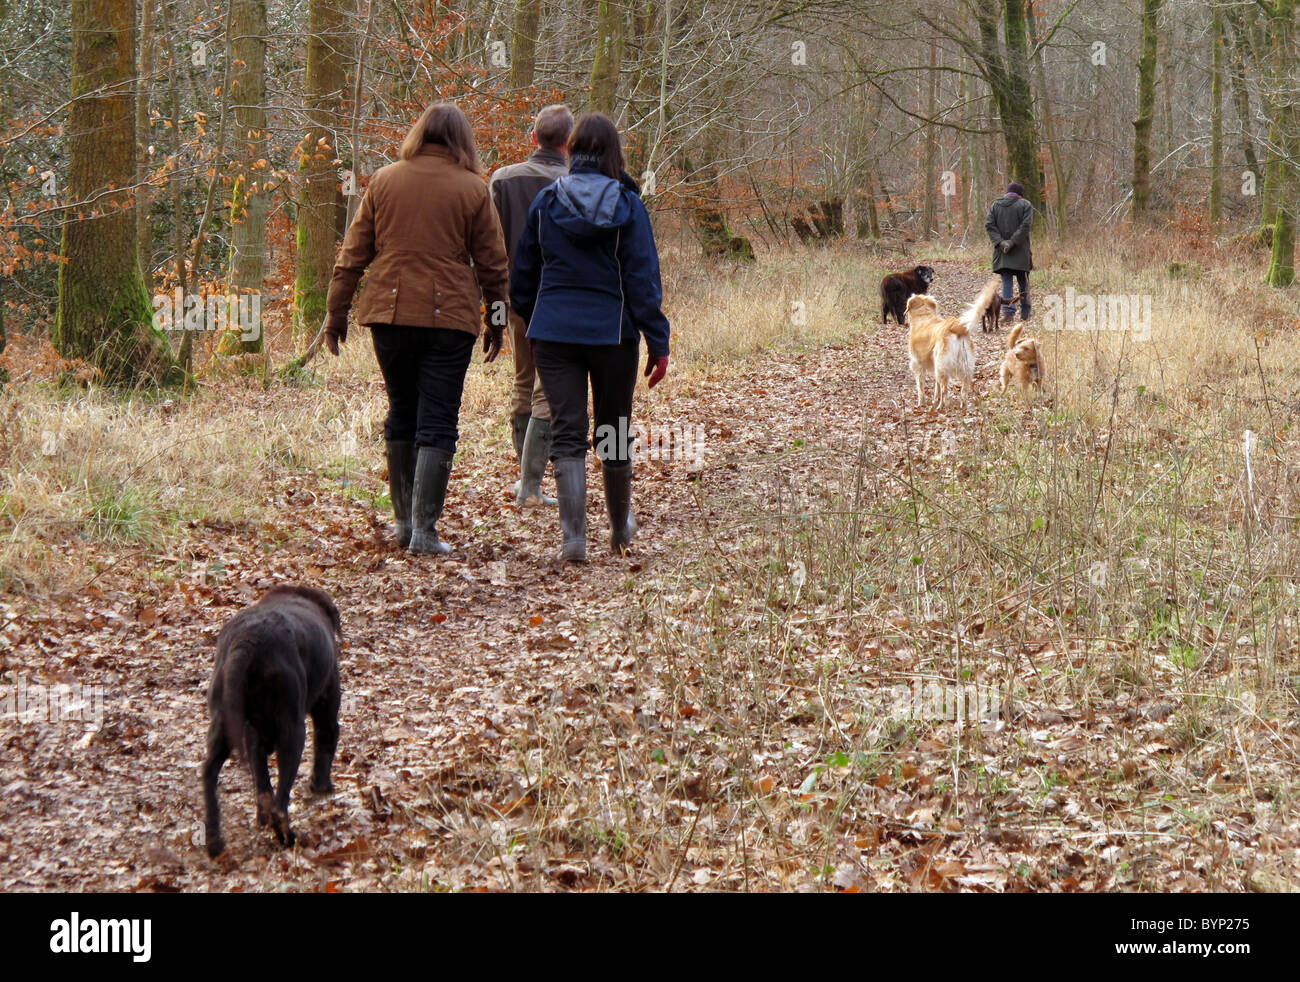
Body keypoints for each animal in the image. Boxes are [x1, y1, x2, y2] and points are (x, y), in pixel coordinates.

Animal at [201, 587, 340, 858]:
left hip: (222, 725)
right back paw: (287, 837)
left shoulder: (253, 738)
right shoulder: (327, 707)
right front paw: (321, 787)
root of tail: (247, 641)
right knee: (280, 799)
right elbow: (325, 746)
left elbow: (261, 781)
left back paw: (215, 843)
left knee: (210, 773)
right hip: (292, 732)